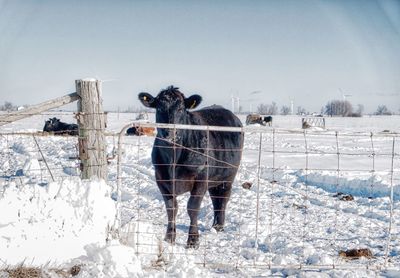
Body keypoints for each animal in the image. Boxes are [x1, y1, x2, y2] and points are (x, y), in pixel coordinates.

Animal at [138, 85, 244, 248]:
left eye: (181, 108)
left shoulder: (201, 178)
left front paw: (193, 240)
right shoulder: (161, 179)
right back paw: (215, 226)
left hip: (228, 176)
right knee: (216, 199)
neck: (174, 157)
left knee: (223, 199)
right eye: (159, 108)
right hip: (215, 179)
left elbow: (192, 207)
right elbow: (171, 208)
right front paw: (169, 237)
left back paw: (219, 227)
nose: (171, 132)